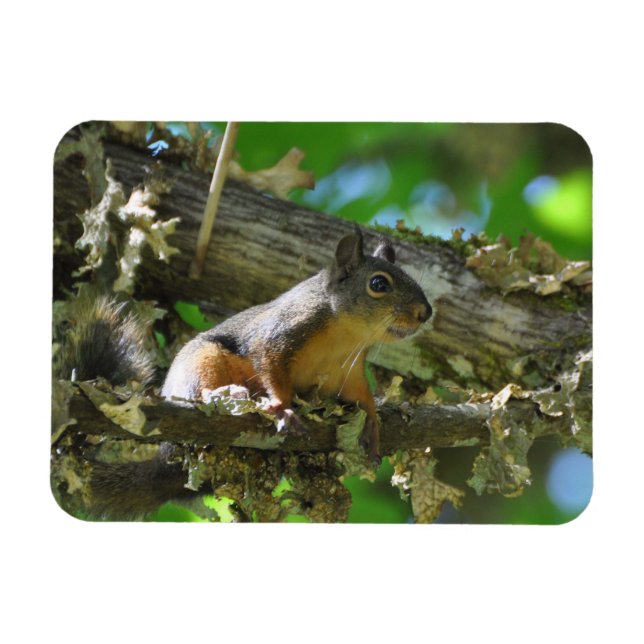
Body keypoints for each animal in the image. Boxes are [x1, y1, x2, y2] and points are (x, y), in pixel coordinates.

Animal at [54, 228, 432, 518]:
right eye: (379, 284)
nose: (425, 313)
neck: (346, 335)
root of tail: (166, 462)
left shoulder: (348, 372)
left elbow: (362, 396)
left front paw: (373, 422)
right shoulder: (279, 336)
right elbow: (271, 366)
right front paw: (283, 407)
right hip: (202, 361)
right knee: (201, 391)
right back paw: (226, 395)